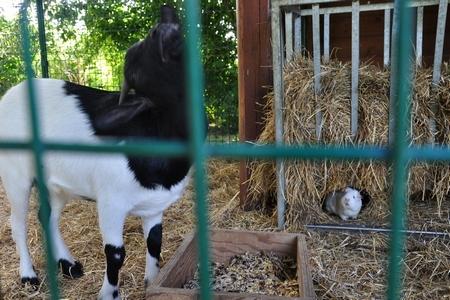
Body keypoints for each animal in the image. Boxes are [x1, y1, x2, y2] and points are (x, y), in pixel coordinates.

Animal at [0, 5, 195, 300]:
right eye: (135, 56)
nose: (166, 17)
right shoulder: (111, 202)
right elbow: (115, 254)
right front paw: (108, 293)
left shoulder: (154, 205)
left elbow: (154, 242)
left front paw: (152, 282)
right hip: (15, 173)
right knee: (18, 223)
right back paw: (29, 275)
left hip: (56, 183)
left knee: (47, 216)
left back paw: (68, 265)